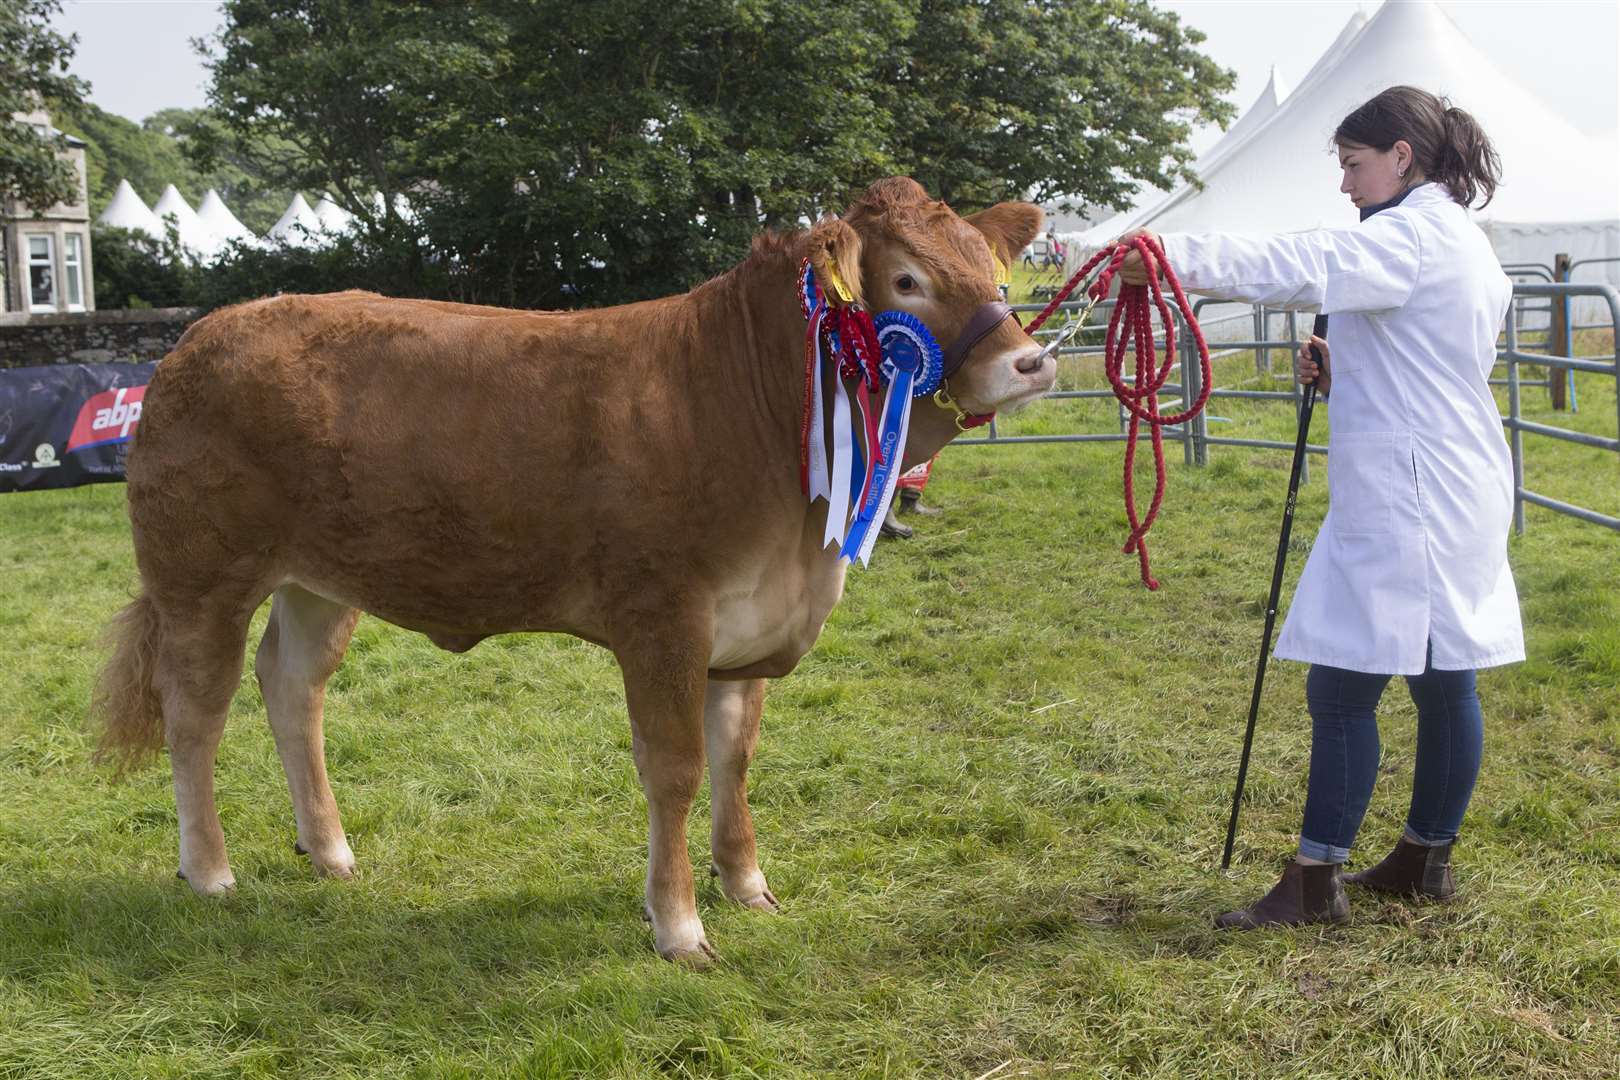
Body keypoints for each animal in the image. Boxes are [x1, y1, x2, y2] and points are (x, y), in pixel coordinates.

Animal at [94, 175, 1049, 965]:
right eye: (907, 282)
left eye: (996, 277)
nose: (1031, 361)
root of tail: (202, 335)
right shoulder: (663, 618)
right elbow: (675, 768)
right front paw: (679, 926)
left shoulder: (750, 626)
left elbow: (736, 758)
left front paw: (747, 884)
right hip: (201, 578)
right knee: (196, 711)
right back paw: (208, 871)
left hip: (319, 584)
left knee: (293, 688)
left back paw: (329, 851)